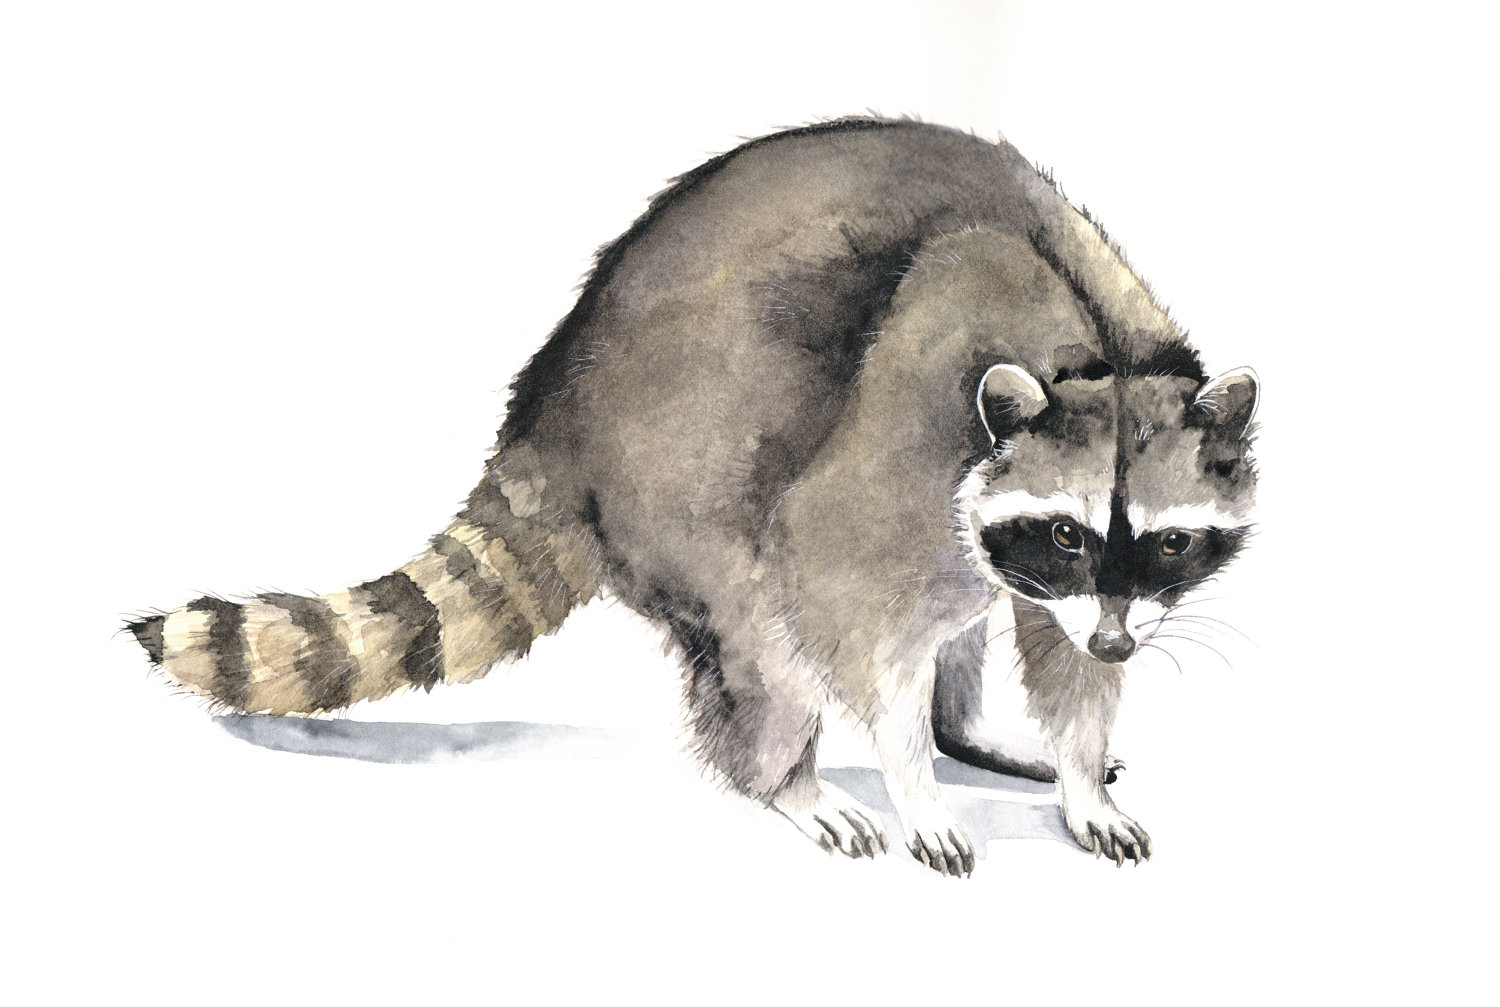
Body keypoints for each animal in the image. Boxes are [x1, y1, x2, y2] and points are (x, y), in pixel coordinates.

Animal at [127, 117, 1257, 875]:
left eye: (1168, 544)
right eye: (1064, 530)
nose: (1119, 638)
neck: (1096, 351)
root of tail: (551, 418)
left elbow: (1057, 647)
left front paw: (1075, 765)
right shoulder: (907, 431)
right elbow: (840, 586)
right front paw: (910, 777)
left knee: (957, 615)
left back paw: (964, 727)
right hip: (682, 478)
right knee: (765, 630)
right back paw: (794, 779)